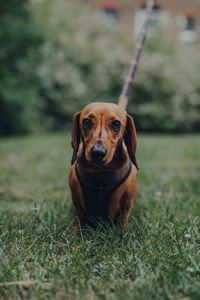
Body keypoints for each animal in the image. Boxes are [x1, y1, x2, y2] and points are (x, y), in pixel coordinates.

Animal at [68, 102, 138, 231]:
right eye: (86, 122)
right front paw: (75, 232)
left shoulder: (127, 201)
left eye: (116, 124)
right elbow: (80, 216)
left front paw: (124, 232)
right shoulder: (76, 199)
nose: (97, 152)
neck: (100, 172)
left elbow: (123, 218)